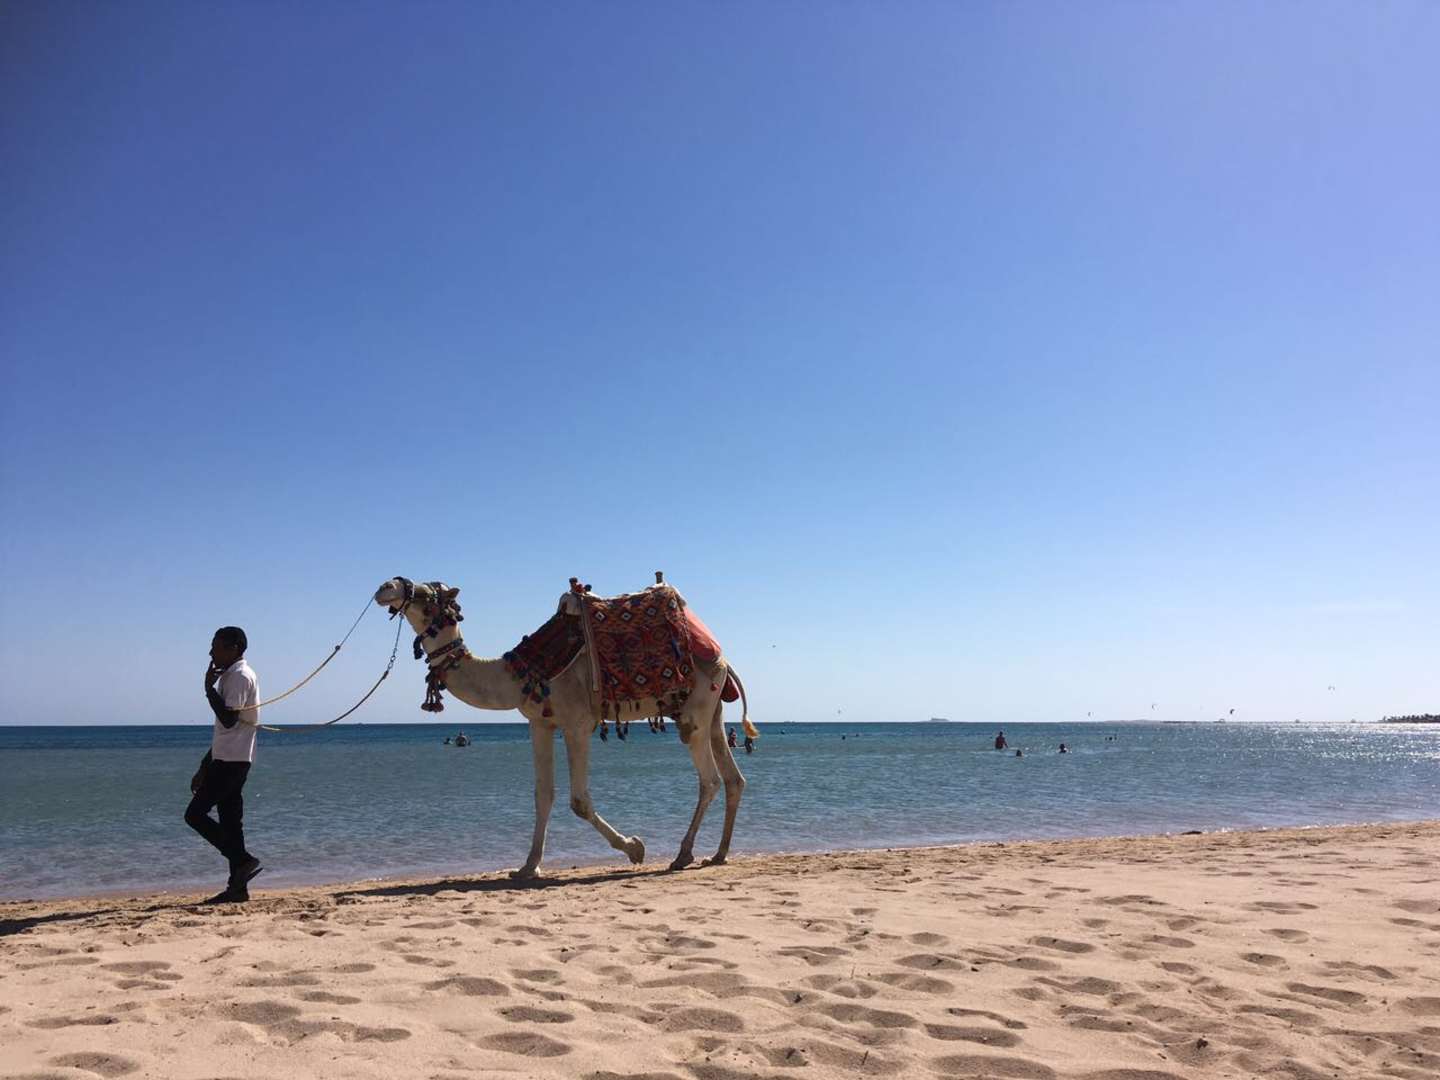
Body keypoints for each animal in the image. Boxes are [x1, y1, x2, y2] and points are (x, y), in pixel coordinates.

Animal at [372, 577, 757, 879]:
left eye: (427, 594)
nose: (386, 587)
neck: (521, 673)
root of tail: (723, 659)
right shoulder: (540, 723)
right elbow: (543, 795)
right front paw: (528, 866)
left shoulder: (577, 724)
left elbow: (579, 800)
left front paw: (634, 848)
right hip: (712, 712)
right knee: (733, 778)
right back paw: (718, 854)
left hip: (695, 710)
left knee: (709, 779)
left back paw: (683, 854)